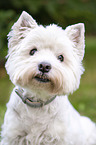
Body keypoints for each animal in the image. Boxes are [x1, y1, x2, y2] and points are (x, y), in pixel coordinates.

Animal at [0, 11, 96, 145]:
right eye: (33, 51)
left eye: (61, 57)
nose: (44, 66)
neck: (37, 102)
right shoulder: (13, 136)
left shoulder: (59, 138)